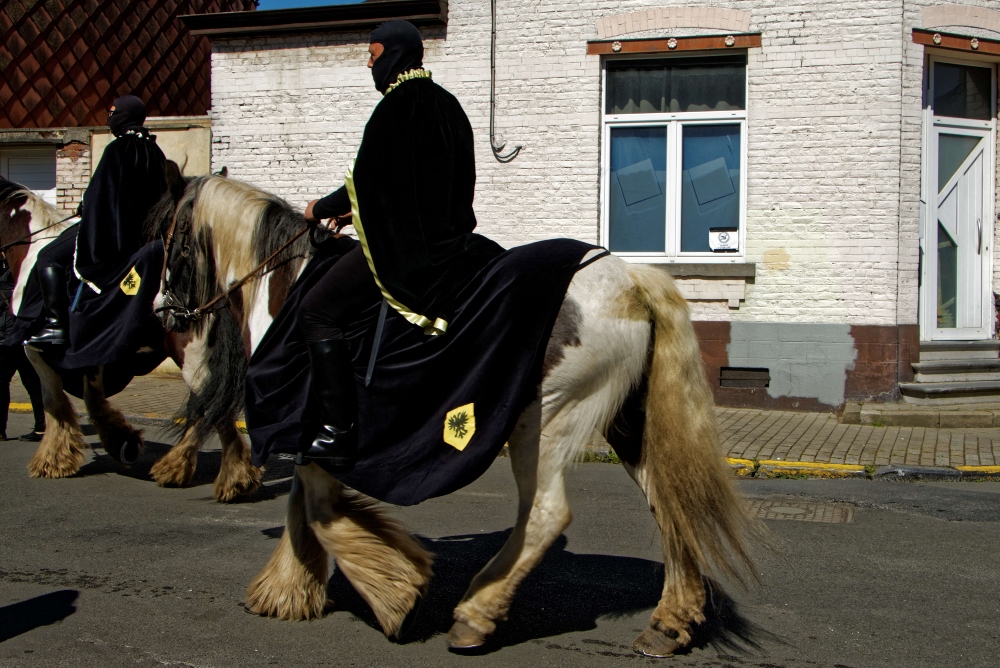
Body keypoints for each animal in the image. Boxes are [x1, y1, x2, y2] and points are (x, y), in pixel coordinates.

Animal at [0, 177, 262, 500]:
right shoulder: (93, 352)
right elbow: (92, 398)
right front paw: (121, 440)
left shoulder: (37, 352)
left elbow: (54, 401)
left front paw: (54, 459)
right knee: (207, 409)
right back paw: (185, 467)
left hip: (193, 357)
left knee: (215, 410)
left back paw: (229, 477)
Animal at [146, 174, 756, 656]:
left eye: (168, 240)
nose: (162, 310)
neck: (289, 288)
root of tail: (630, 280)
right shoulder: (307, 436)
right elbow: (304, 506)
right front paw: (289, 589)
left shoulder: (311, 429)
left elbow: (317, 508)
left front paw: (394, 590)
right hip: (625, 423)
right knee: (669, 502)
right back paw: (671, 622)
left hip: (544, 421)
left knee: (546, 515)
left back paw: (475, 615)